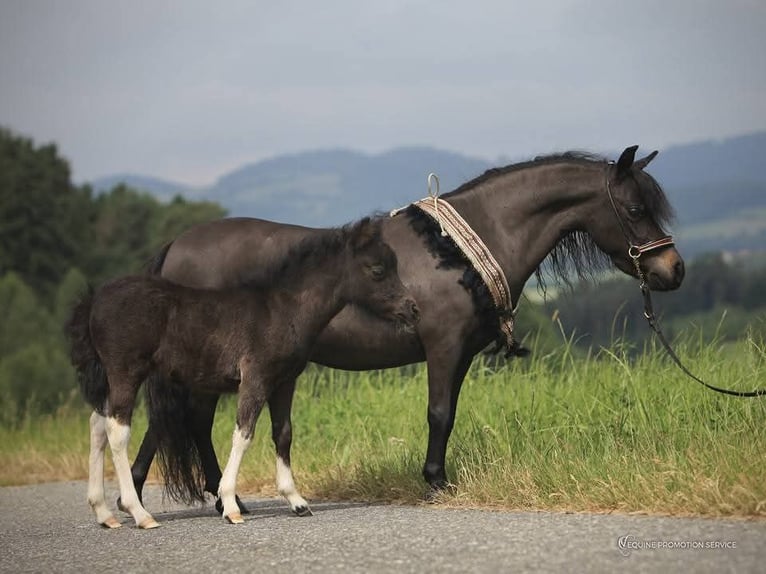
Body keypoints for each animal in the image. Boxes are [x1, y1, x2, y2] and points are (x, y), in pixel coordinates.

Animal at [66, 218, 420, 528]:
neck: (282, 310)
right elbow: (244, 433)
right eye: (377, 270)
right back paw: (140, 514)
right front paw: (230, 505)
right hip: (126, 372)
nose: (413, 308)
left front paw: (297, 501)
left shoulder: (284, 382)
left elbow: (283, 433)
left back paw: (104, 514)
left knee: (97, 423)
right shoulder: (255, 376)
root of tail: (94, 302)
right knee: (116, 429)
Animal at [127, 145, 685, 512]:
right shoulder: (443, 348)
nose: (673, 270)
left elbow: (449, 414)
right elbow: (439, 414)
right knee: (185, 423)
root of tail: (176, 247)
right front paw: (435, 483)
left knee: (176, 424)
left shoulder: (460, 356)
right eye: (635, 208)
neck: (453, 252)